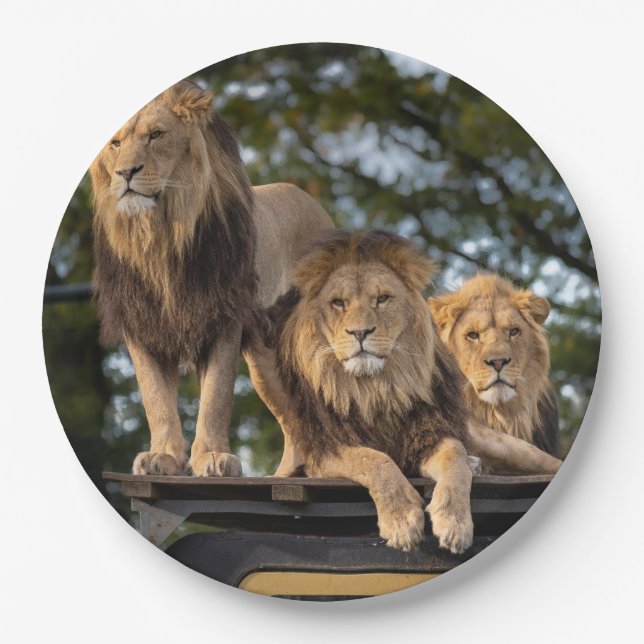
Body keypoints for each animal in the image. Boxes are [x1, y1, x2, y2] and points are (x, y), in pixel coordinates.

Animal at [90, 80, 333, 477]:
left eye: (156, 135)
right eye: (115, 143)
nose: (125, 173)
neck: (160, 239)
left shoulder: (223, 318)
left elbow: (215, 398)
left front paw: (213, 457)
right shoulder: (141, 324)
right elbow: (155, 398)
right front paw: (162, 456)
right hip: (265, 361)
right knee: (294, 420)